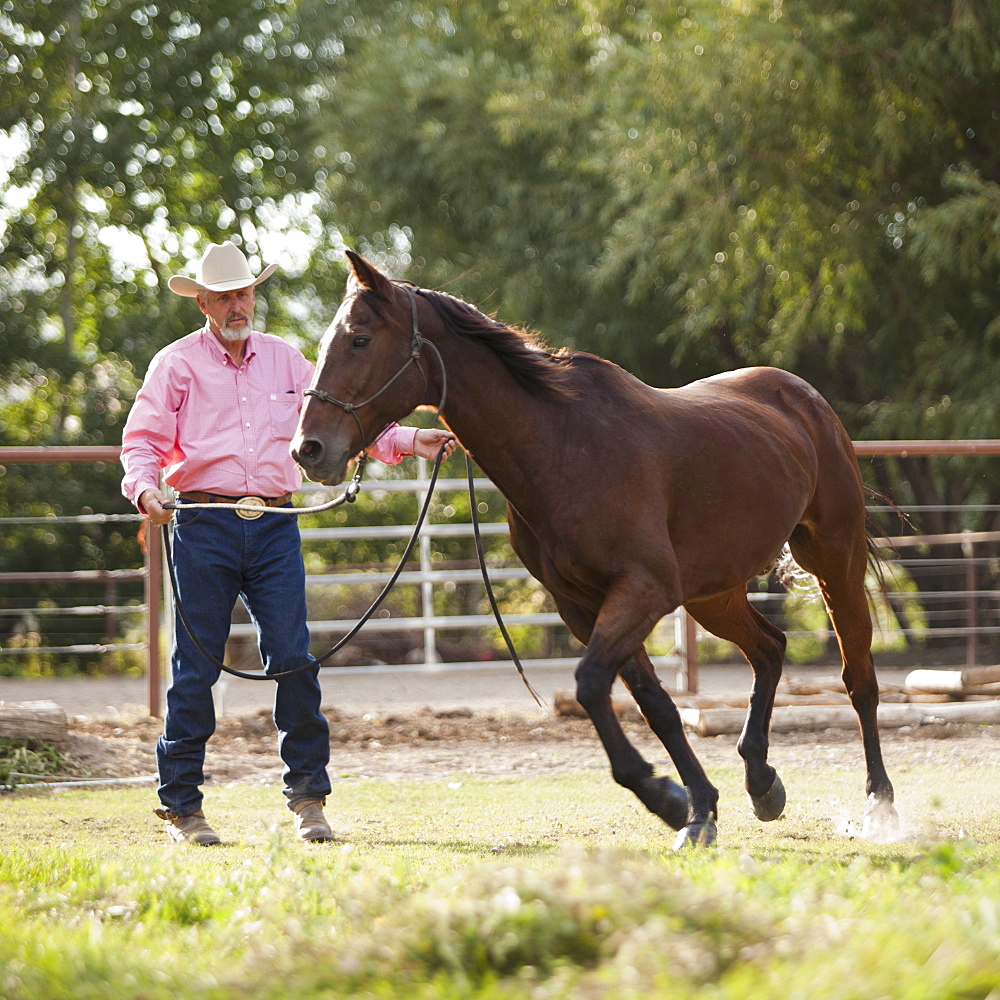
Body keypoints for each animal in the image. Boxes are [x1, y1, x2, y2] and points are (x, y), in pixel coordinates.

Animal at [292, 254, 900, 848]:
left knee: (859, 679)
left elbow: (590, 685)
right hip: (713, 593)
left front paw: (666, 798)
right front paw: (695, 807)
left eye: (359, 340)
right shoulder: (584, 606)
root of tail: (803, 397)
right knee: (771, 649)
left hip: (835, 562)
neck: (564, 444)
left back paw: (880, 804)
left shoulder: (642, 590)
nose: (309, 450)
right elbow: (654, 705)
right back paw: (761, 781)